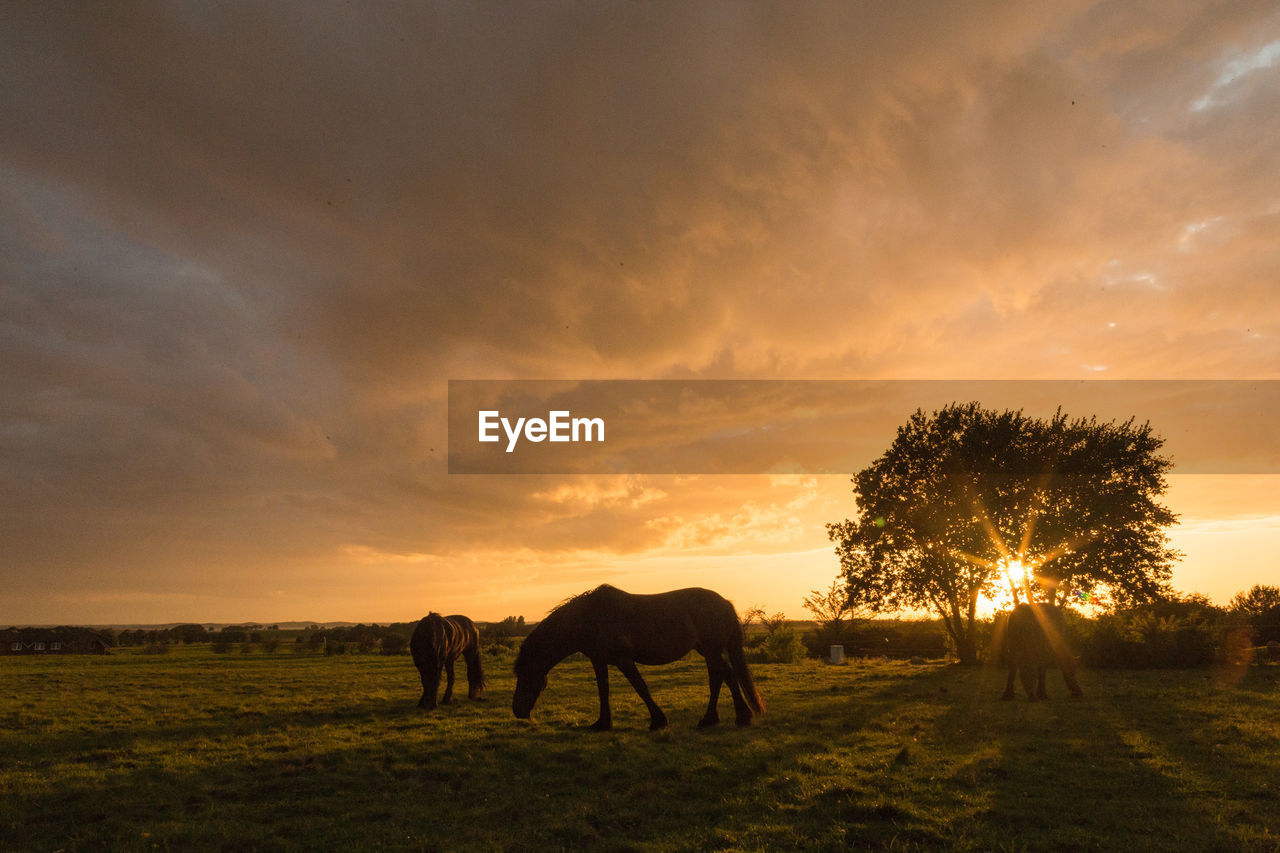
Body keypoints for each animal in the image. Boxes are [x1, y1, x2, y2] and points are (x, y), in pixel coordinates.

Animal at [514, 584, 762, 732]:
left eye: (526, 676)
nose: (518, 711)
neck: (590, 618)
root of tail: (724, 603)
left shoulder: (623, 659)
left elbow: (640, 687)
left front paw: (658, 721)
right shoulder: (599, 659)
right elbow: (604, 690)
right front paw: (602, 723)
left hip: (711, 650)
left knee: (723, 677)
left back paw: (730, 717)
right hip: (708, 651)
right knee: (724, 677)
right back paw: (722, 718)